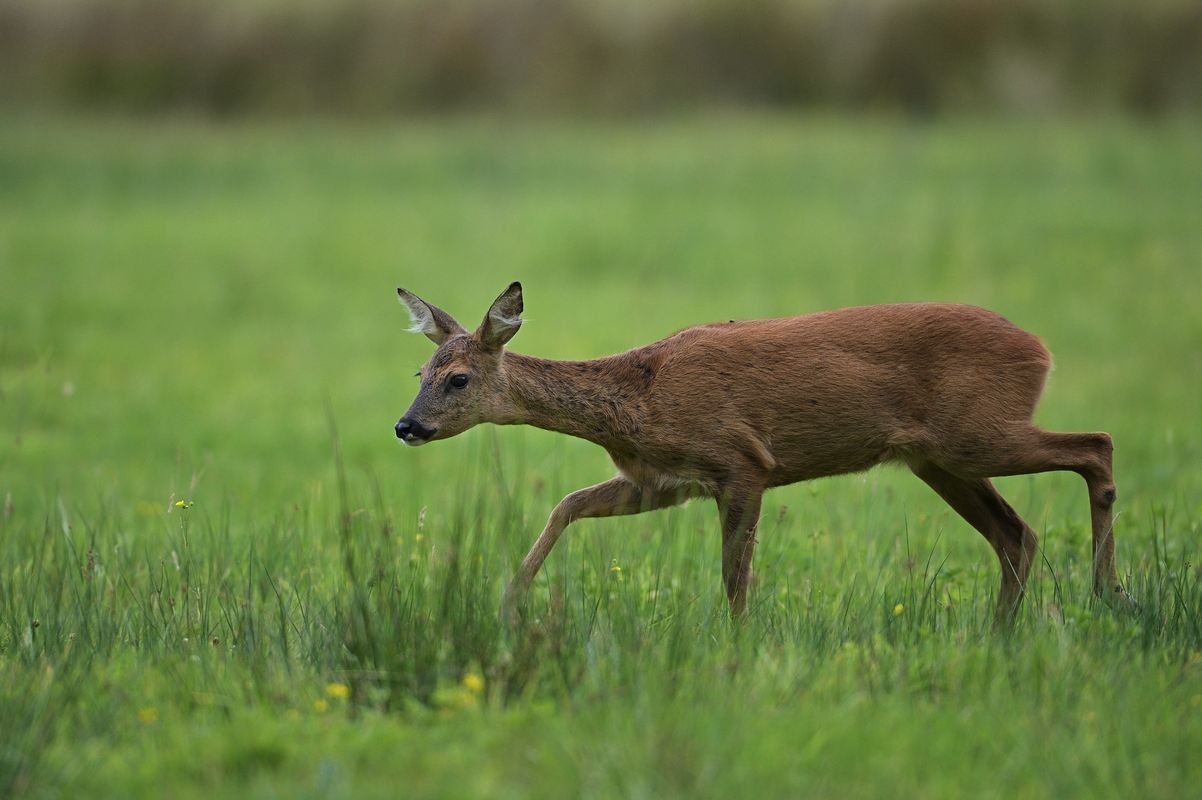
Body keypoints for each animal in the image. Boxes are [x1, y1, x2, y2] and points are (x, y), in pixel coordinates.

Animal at [391, 279, 1125, 624]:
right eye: (420, 372)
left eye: (458, 379)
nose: (405, 426)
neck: (640, 401)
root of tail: (1040, 349)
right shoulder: (660, 483)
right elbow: (567, 505)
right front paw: (510, 601)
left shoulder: (741, 463)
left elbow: (734, 575)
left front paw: (738, 647)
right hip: (939, 459)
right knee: (1016, 533)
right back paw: (1002, 634)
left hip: (978, 432)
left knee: (1097, 445)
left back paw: (1106, 591)